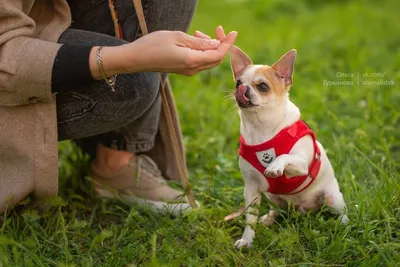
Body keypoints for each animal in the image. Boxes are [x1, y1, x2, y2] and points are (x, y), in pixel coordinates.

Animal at [230, 46, 348, 249]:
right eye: (238, 82)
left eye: (263, 86)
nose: (242, 89)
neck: (261, 127)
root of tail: (301, 210)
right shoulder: (251, 189)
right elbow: (249, 219)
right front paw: (247, 240)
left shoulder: (302, 165)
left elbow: (284, 156)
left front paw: (274, 166)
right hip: (272, 197)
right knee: (278, 210)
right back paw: (269, 218)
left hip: (332, 198)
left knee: (342, 210)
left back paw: (344, 223)